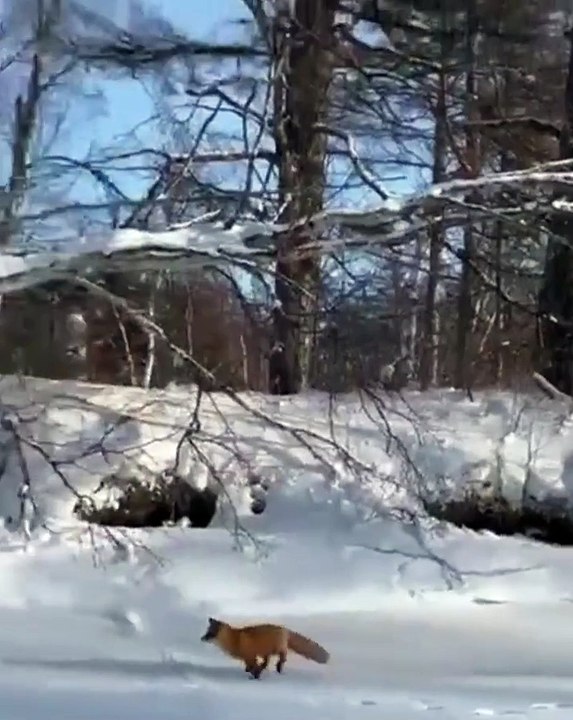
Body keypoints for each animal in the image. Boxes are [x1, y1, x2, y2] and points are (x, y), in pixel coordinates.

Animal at [200, 617, 330, 679]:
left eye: (211, 633)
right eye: (207, 632)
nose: (202, 638)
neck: (235, 640)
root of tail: (284, 629)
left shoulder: (250, 655)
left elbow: (253, 667)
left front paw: (255, 676)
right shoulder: (248, 657)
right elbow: (251, 667)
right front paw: (254, 672)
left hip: (277, 648)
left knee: (283, 655)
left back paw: (278, 666)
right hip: (265, 652)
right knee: (267, 660)